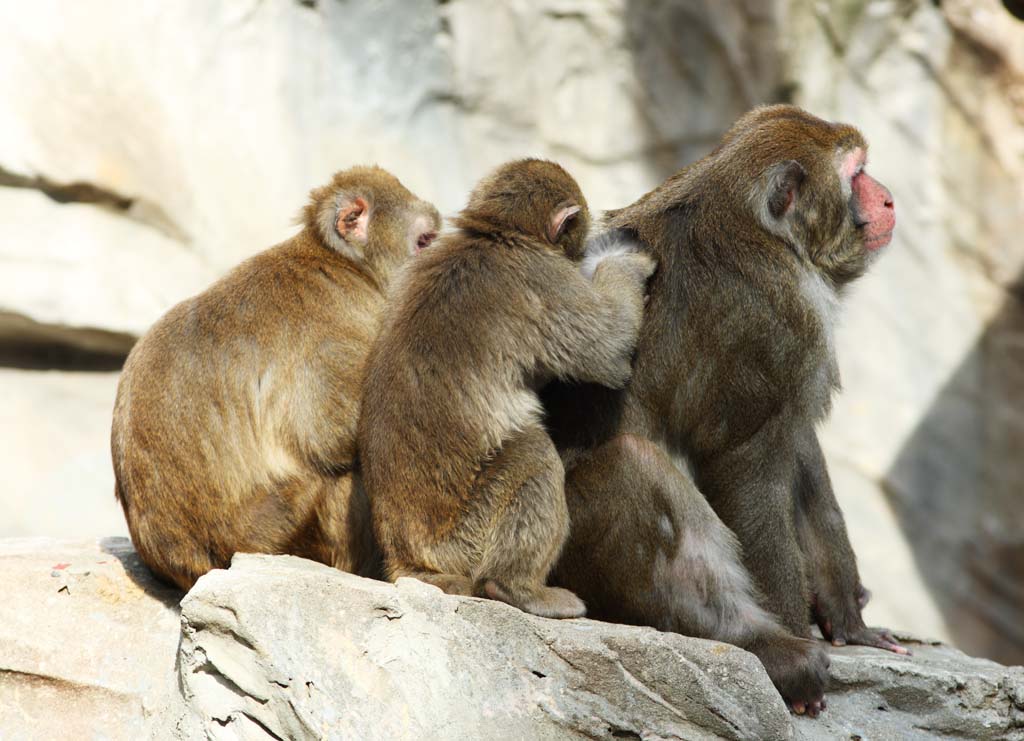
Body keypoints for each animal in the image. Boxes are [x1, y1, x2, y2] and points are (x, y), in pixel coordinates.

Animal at [360, 157, 655, 618]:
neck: (493, 235)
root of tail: (408, 562)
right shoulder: (546, 280)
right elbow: (610, 349)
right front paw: (624, 261)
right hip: (464, 539)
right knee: (532, 454)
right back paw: (516, 588)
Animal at [544, 106, 905, 716]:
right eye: (856, 173)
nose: (887, 200)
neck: (763, 231)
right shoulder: (773, 319)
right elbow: (745, 462)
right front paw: (794, 631)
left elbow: (797, 443)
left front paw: (847, 616)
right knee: (635, 466)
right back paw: (762, 648)